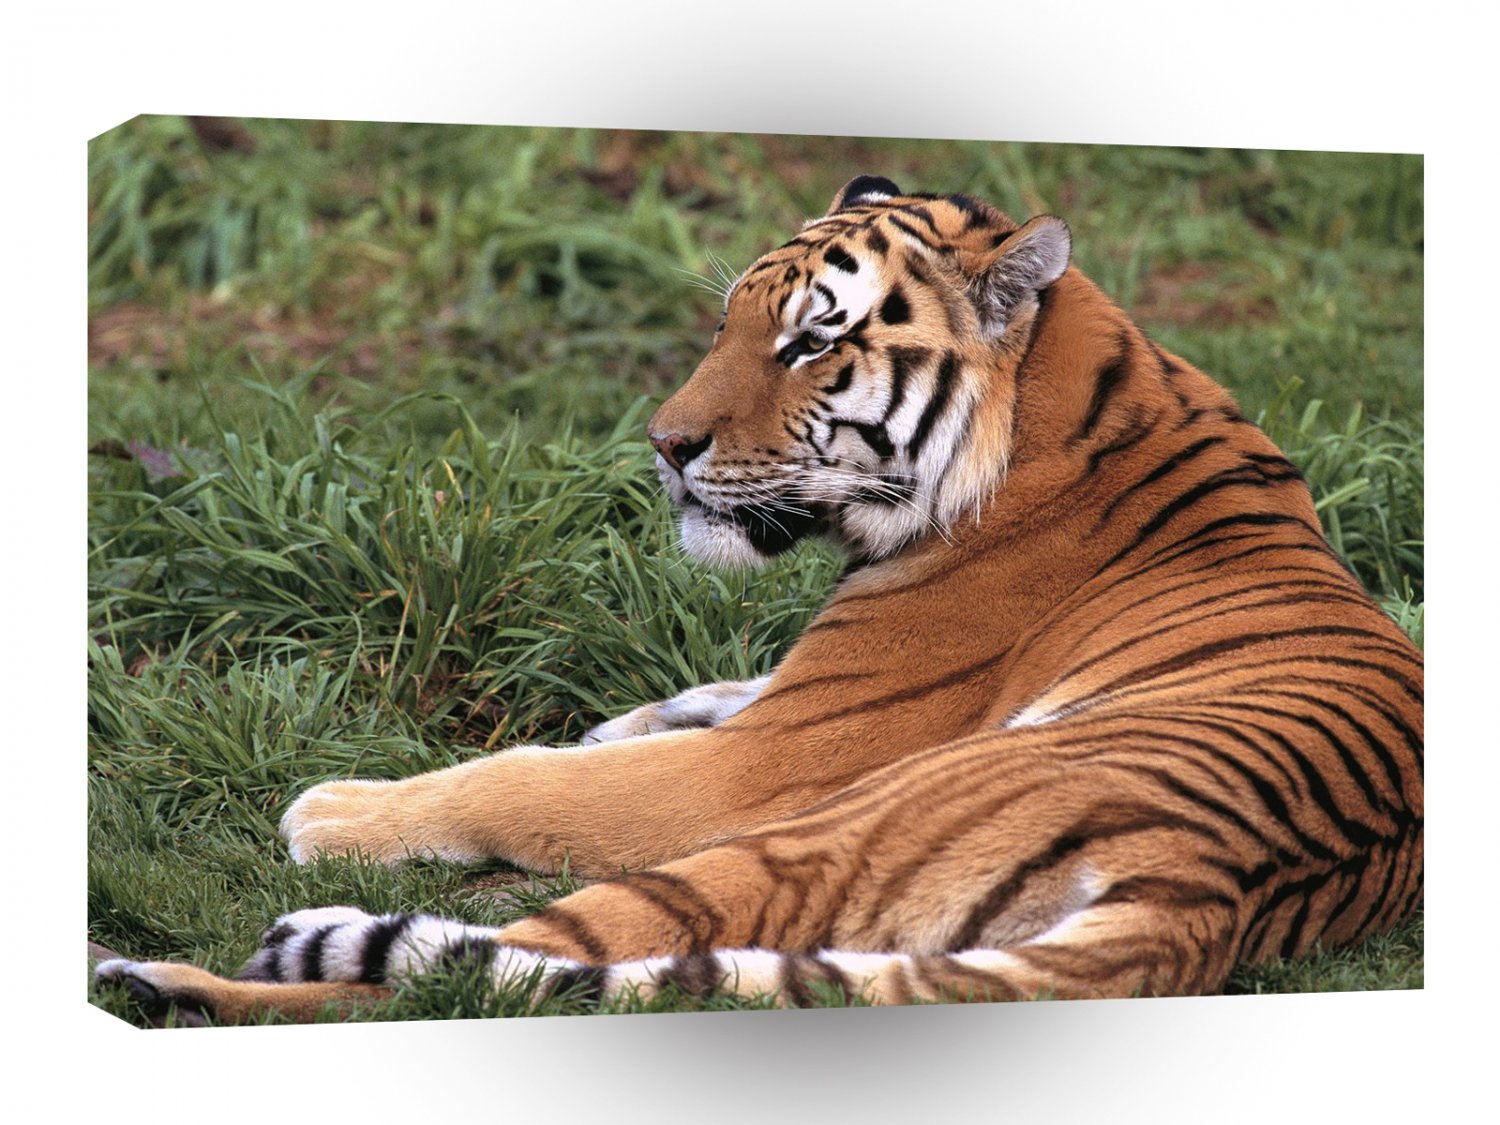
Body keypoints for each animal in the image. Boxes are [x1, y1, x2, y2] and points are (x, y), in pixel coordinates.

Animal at [95, 174, 1423, 1023]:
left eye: (810, 345)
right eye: (730, 320)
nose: (663, 445)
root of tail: (1206, 892)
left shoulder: (768, 765)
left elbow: (528, 779)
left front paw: (338, 808)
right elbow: (692, 697)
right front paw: (630, 716)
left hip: (801, 840)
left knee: (470, 982)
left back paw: (173, 979)